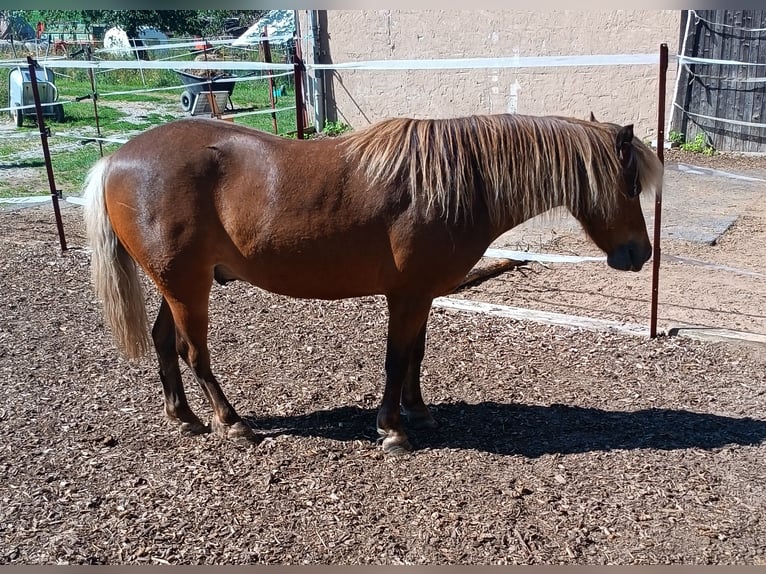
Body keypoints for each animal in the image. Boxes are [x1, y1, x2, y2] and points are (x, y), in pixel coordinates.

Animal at [81, 112, 664, 454]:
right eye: (631, 183)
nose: (640, 253)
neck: (457, 181)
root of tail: (117, 158)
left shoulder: (421, 294)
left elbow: (416, 356)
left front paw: (418, 411)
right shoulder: (405, 295)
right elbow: (395, 358)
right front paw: (392, 428)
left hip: (177, 284)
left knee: (164, 343)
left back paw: (183, 418)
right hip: (188, 287)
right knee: (193, 352)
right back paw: (233, 423)